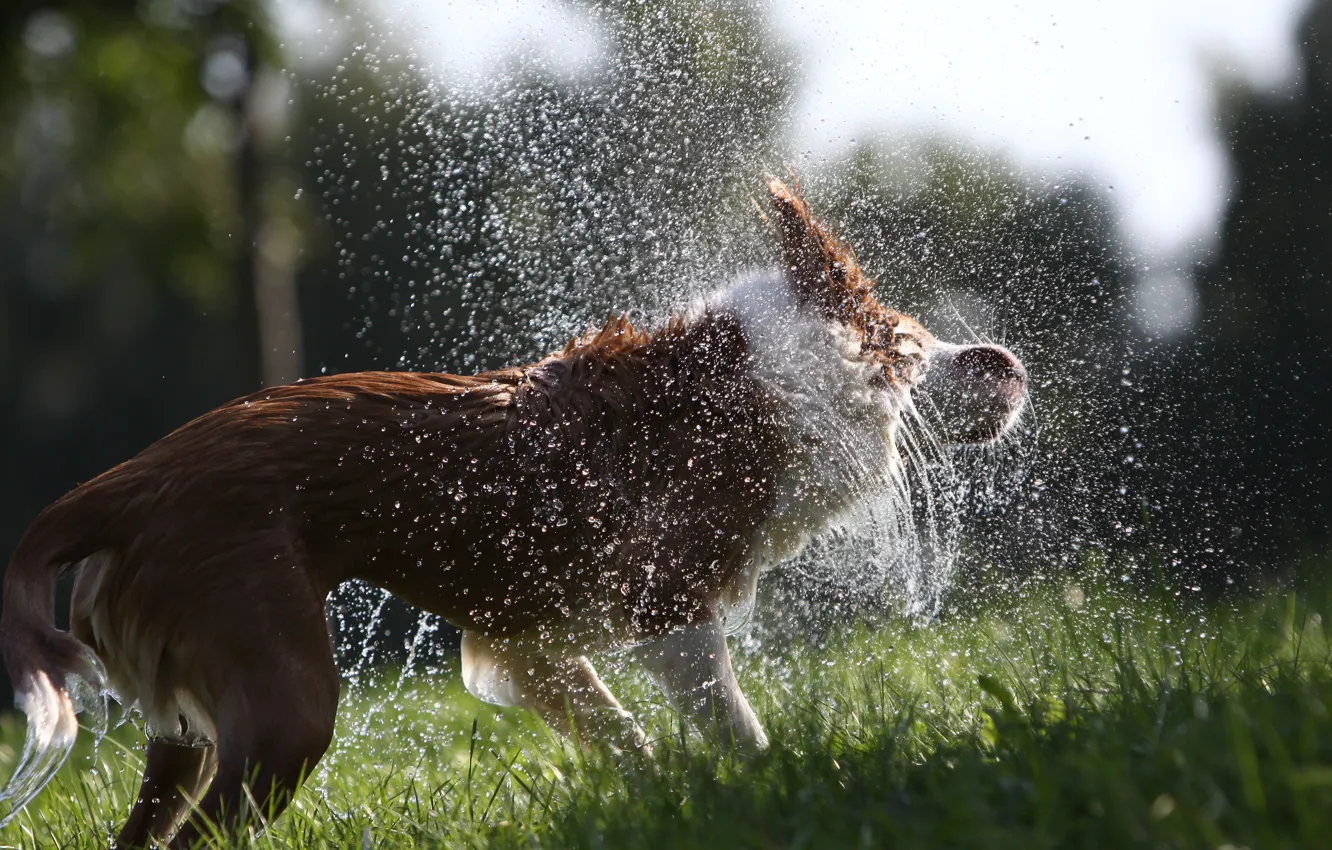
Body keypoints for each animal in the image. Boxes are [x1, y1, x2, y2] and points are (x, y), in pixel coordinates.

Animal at [0, 179, 1028, 847]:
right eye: (911, 340)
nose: (1008, 363)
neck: (759, 386)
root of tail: (125, 482)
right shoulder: (668, 603)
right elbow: (735, 729)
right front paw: (776, 789)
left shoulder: (529, 645)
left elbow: (631, 741)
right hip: (288, 700)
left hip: (181, 725)